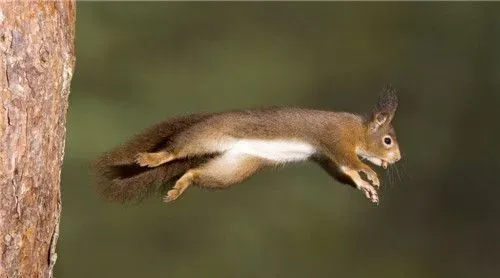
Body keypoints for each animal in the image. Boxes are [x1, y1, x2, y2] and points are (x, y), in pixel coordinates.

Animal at [91, 84, 402, 204]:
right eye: (388, 140)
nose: (397, 158)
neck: (358, 131)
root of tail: (209, 118)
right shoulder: (336, 140)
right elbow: (351, 162)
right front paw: (371, 174)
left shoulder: (327, 157)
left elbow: (345, 172)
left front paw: (366, 187)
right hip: (205, 136)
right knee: (176, 150)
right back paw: (154, 158)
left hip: (234, 167)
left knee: (195, 172)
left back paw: (181, 185)